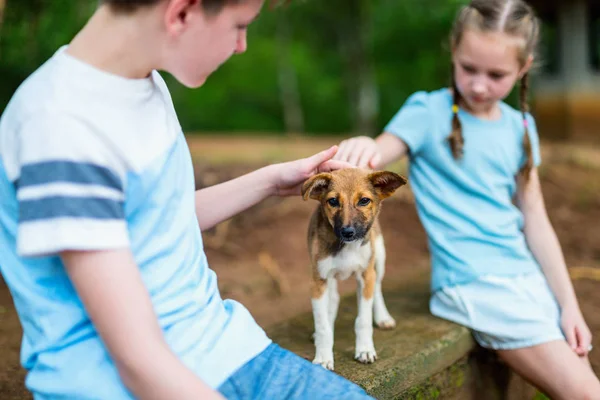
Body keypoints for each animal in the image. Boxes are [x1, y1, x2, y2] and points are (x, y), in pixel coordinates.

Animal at [302, 167, 406, 370]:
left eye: (364, 200)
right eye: (333, 201)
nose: (347, 232)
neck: (346, 247)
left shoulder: (365, 275)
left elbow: (363, 320)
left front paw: (365, 349)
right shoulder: (318, 280)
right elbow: (323, 325)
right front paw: (323, 357)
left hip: (379, 257)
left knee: (377, 288)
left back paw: (383, 317)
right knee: (333, 300)